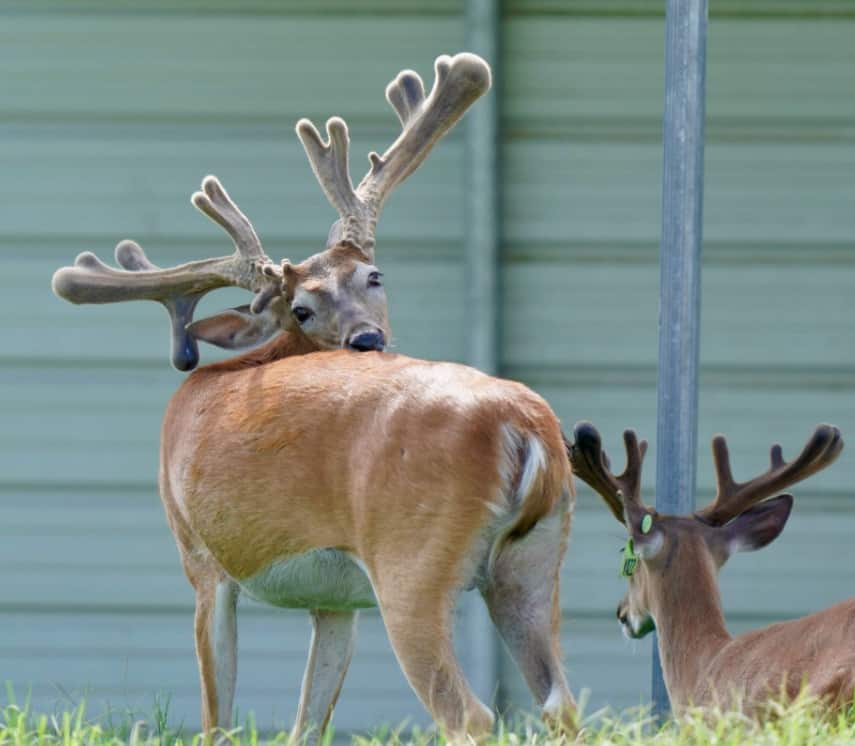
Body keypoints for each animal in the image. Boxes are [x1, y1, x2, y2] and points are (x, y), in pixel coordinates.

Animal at [51, 54, 580, 742]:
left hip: (411, 559)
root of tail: (524, 425)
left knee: (469, 713)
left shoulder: (200, 556)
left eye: (374, 276)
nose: (368, 339)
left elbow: (217, 719)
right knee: (560, 703)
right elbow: (308, 721)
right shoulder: (336, 599)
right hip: (535, 560)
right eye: (301, 307)